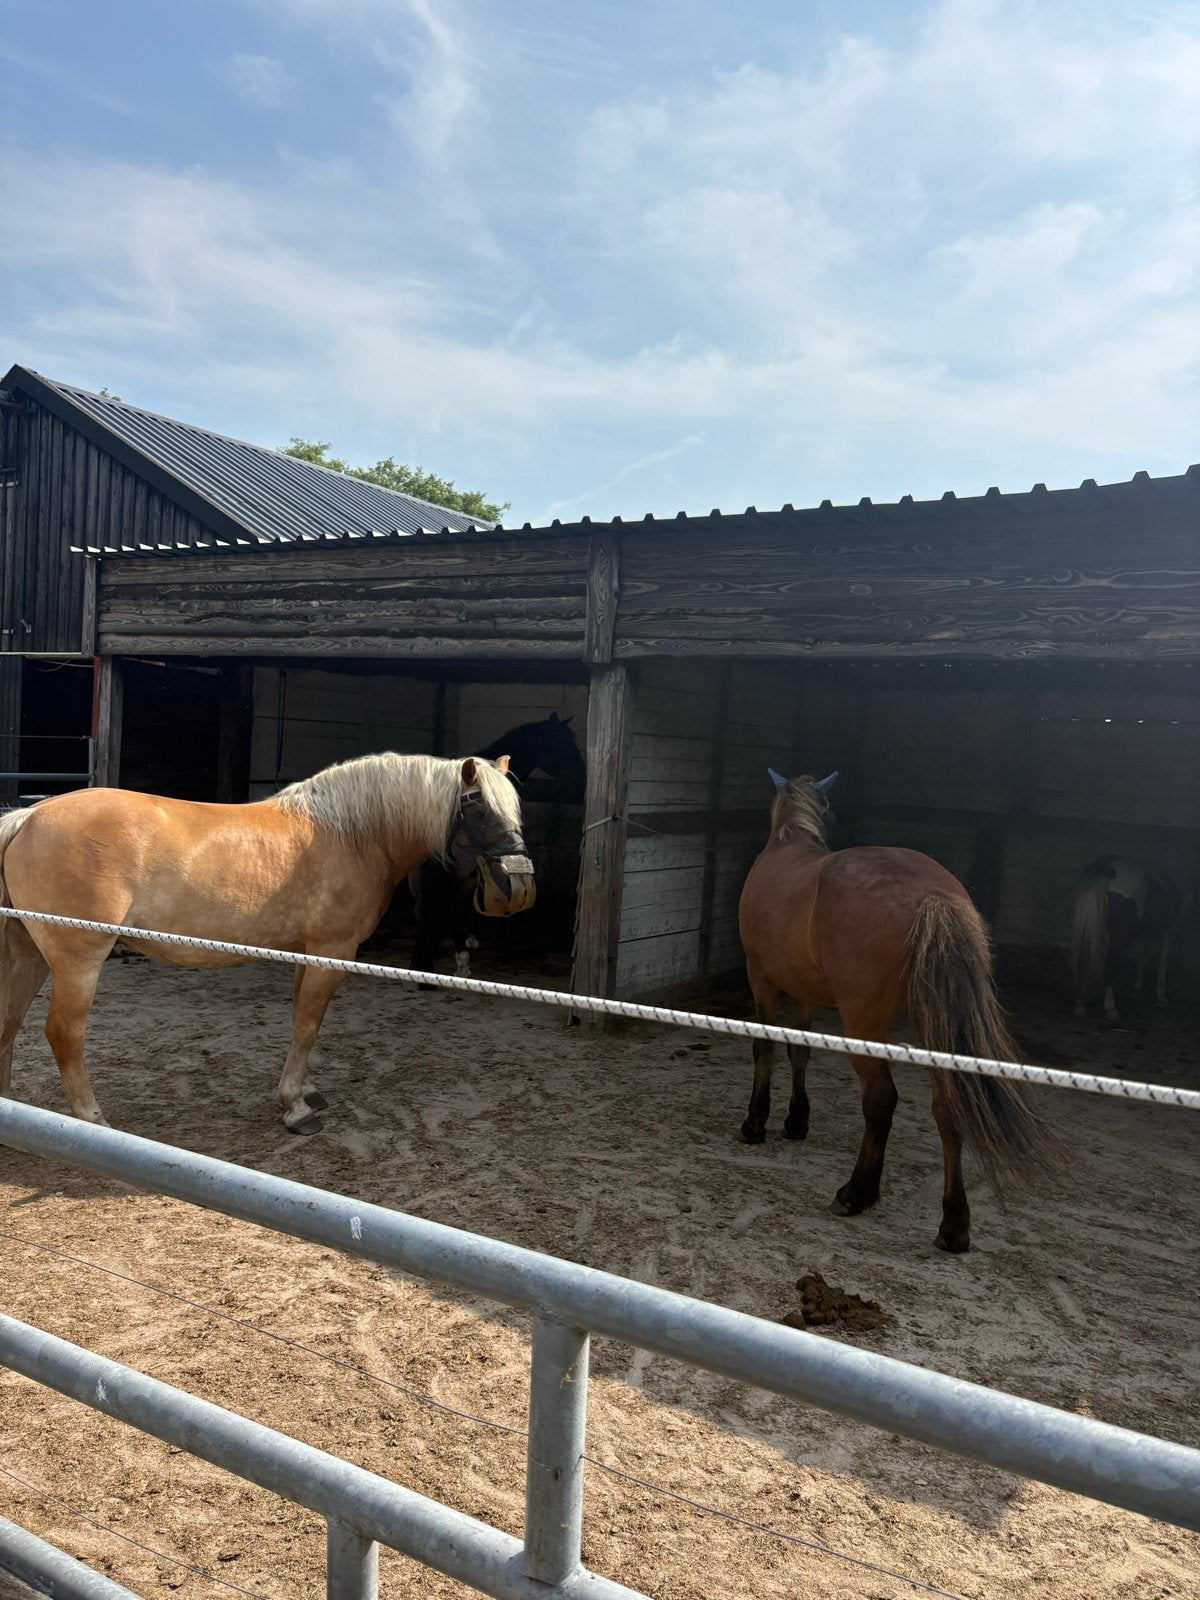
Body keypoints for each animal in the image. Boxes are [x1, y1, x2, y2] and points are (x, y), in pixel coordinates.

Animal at [0, 753, 534, 1134]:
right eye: (478, 807)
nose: (518, 887)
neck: (353, 834)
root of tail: (28, 817)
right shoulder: (332, 952)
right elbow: (308, 1025)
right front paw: (295, 1107)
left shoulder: (305, 951)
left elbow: (302, 1018)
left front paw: (307, 1090)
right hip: (79, 961)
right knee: (64, 1033)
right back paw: (93, 1119)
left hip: (28, 952)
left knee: (11, 1021)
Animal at [737, 769, 1051, 1253]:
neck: (788, 843)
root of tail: (931, 893)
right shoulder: (803, 994)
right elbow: (799, 1052)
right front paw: (795, 1120)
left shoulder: (763, 981)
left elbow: (765, 1048)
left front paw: (756, 1122)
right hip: (932, 1026)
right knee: (948, 1107)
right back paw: (953, 1225)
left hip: (864, 1022)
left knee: (880, 1098)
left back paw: (856, 1192)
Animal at [1071, 855, 1184, 1020]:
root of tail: (1106, 868)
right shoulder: (1169, 932)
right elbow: (1163, 962)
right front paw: (1161, 997)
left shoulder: (1146, 934)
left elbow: (1142, 959)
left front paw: (1137, 988)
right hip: (1120, 938)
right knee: (1112, 961)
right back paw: (1111, 1008)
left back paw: (1081, 1003)